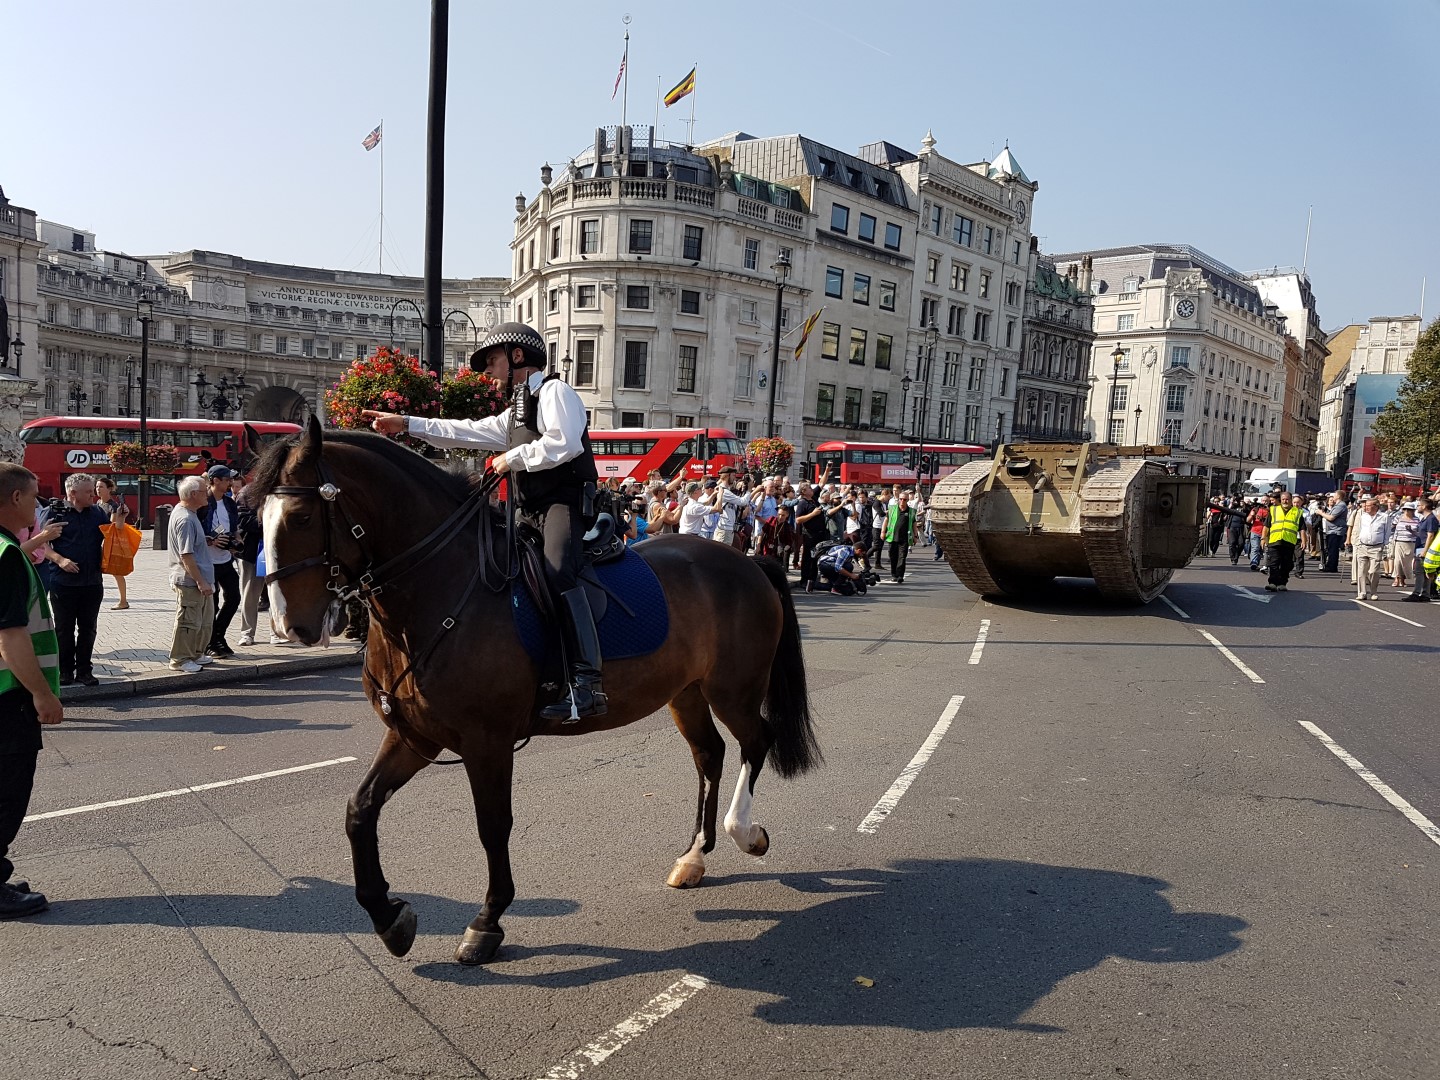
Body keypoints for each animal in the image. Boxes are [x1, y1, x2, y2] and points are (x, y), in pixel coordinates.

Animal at [252, 420, 817, 961]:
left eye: (300, 518)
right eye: (258, 517)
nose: (287, 625)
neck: (440, 590)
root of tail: (744, 559)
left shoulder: (487, 742)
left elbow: (492, 825)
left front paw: (487, 923)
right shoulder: (415, 735)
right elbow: (359, 810)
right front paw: (390, 917)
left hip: (733, 690)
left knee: (755, 742)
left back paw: (744, 832)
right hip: (686, 692)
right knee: (710, 754)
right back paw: (694, 856)